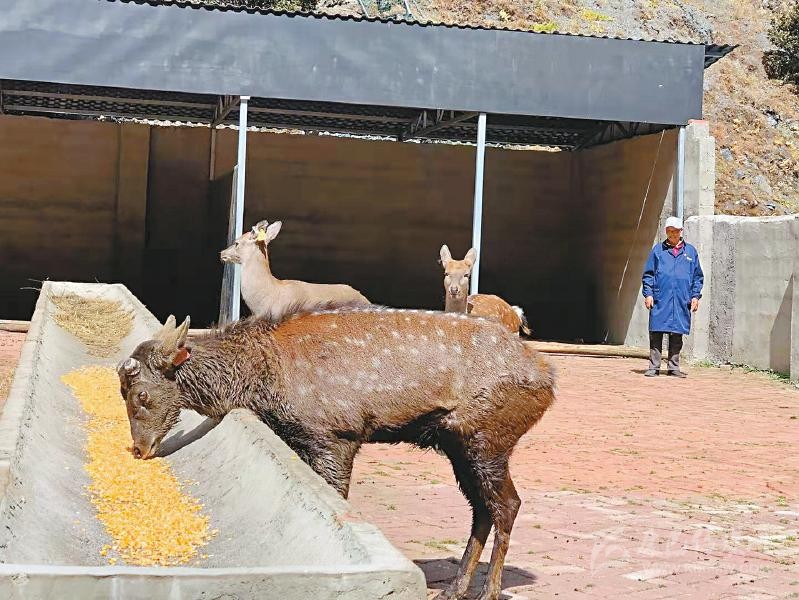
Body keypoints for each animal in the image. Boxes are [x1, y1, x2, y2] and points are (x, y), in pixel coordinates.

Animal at [118, 308, 554, 600]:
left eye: (140, 395)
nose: (139, 449)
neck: (261, 380)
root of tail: (548, 379)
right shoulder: (301, 438)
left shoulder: (336, 434)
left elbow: (336, 498)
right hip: (457, 444)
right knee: (482, 508)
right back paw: (455, 588)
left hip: (490, 436)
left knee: (508, 505)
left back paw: (489, 591)